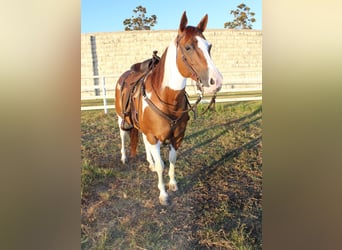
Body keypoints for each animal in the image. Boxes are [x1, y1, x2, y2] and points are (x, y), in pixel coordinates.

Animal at [115, 11, 222, 205]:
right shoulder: (154, 137)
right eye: (188, 47)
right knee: (122, 135)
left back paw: (148, 163)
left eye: (209, 46)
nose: (216, 82)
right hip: (121, 118)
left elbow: (172, 160)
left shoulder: (177, 137)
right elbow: (161, 165)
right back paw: (124, 157)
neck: (167, 99)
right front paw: (163, 194)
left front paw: (173, 184)